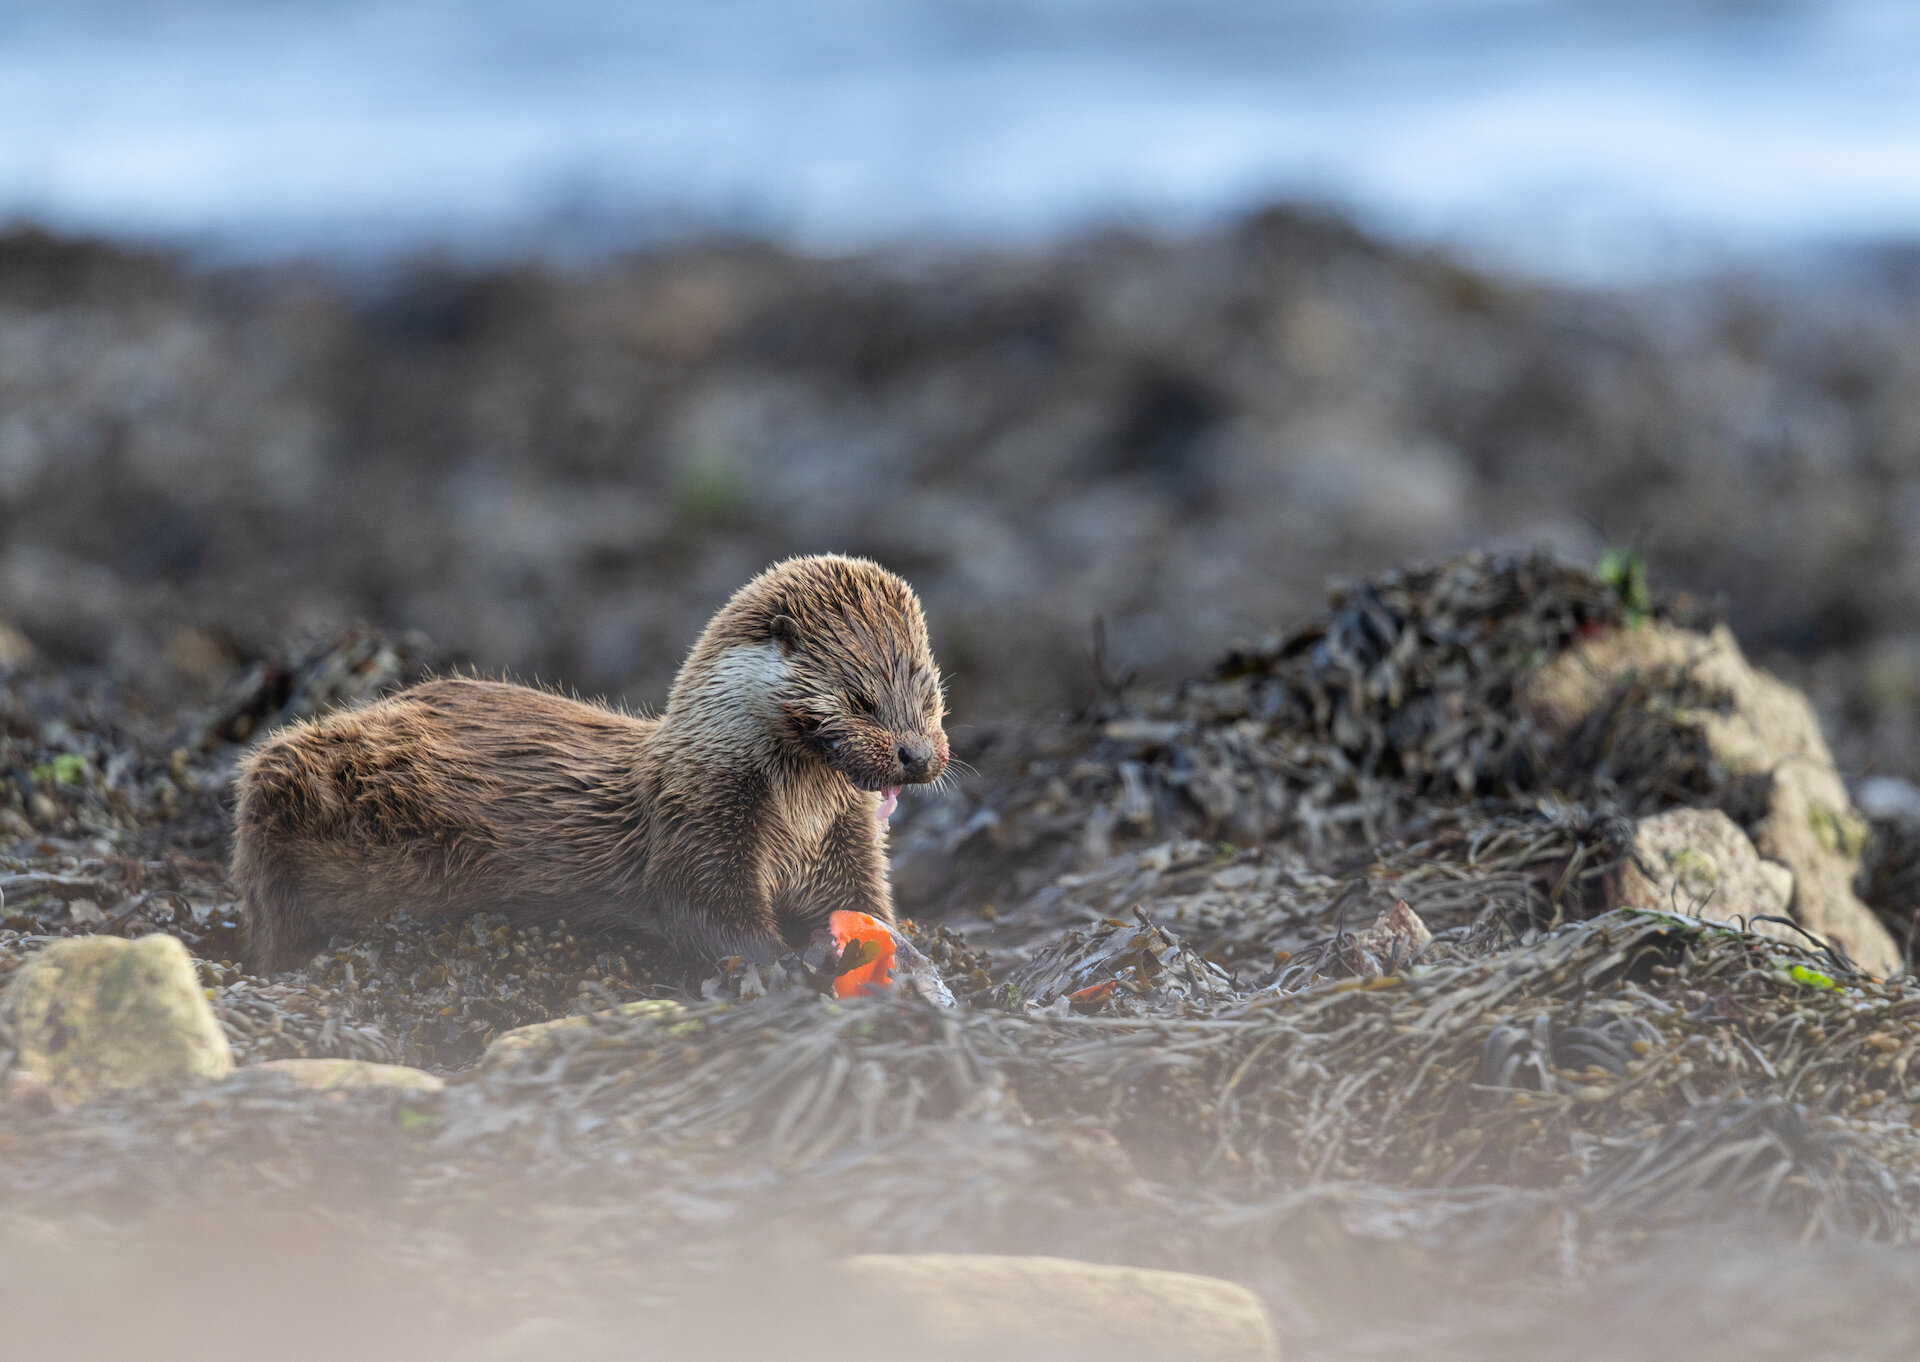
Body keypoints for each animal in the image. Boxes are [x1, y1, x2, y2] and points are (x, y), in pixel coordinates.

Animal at [231, 555, 949, 974]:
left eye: (928, 692)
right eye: (860, 698)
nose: (916, 756)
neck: (795, 824)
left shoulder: (844, 844)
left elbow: (865, 901)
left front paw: (911, 955)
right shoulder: (695, 825)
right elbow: (704, 914)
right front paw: (788, 963)